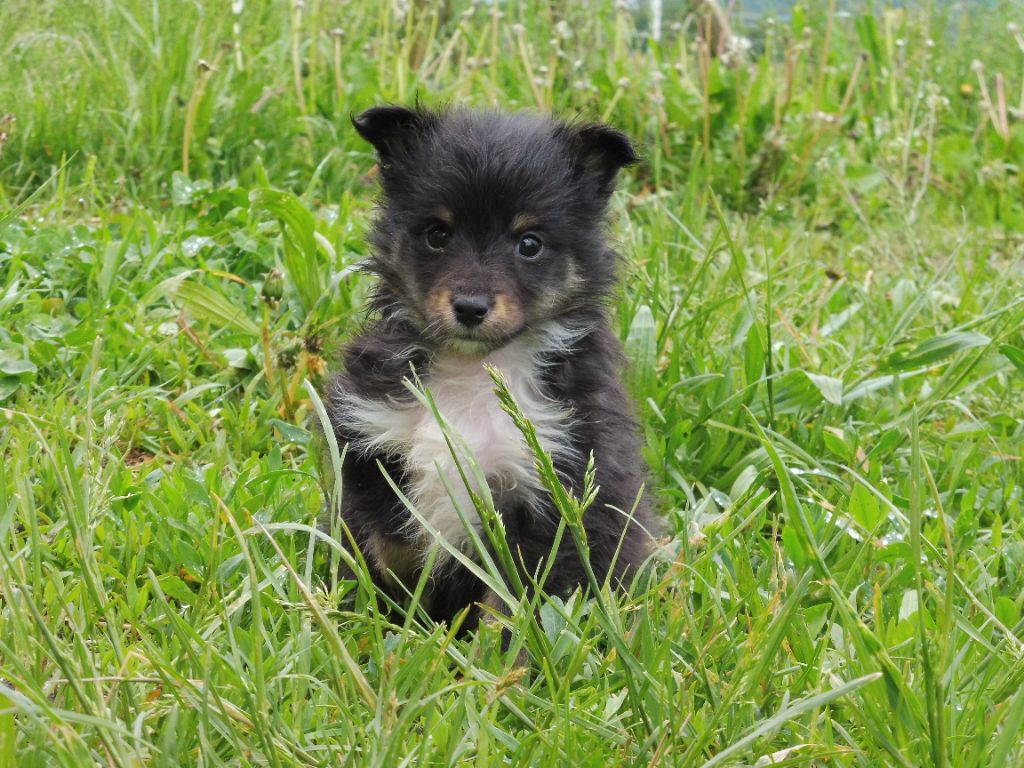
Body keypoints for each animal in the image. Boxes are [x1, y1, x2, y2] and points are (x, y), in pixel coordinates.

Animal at [323, 105, 659, 626]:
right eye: (438, 234)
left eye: (530, 243)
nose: (470, 307)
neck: (475, 369)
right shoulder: (368, 442)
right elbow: (384, 538)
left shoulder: (553, 492)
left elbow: (514, 603)